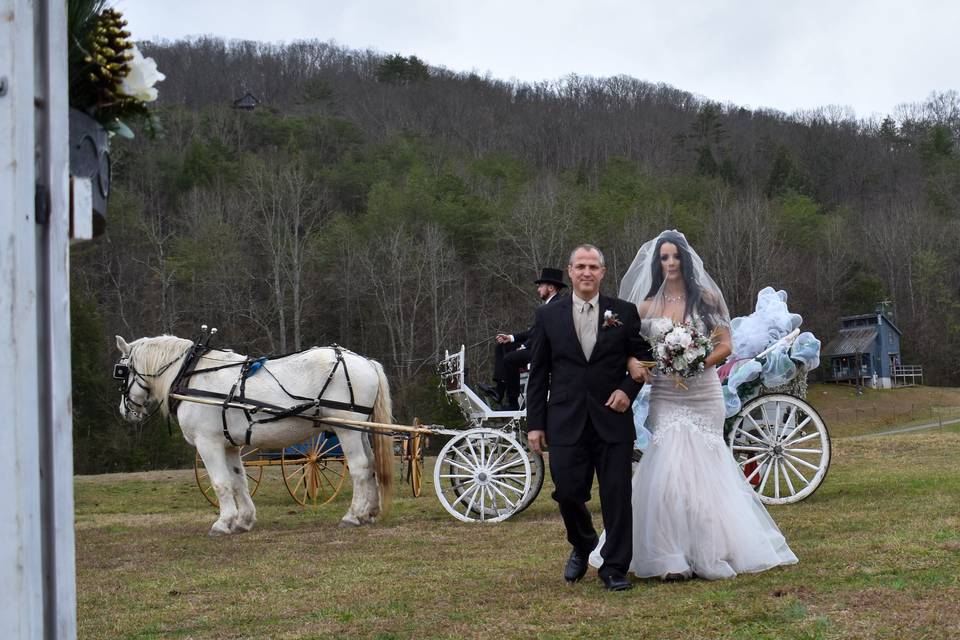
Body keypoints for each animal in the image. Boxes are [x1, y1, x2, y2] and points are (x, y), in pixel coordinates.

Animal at [113, 336, 394, 536]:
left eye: (121, 371)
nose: (125, 411)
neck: (191, 376)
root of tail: (366, 362)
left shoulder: (208, 443)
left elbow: (220, 483)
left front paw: (223, 522)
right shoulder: (229, 445)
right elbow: (239, 482)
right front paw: (243, 521)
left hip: (346, 428)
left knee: (359, 467)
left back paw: (353, 515)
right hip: (360, 429)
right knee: (371, 465)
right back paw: (370, 512)